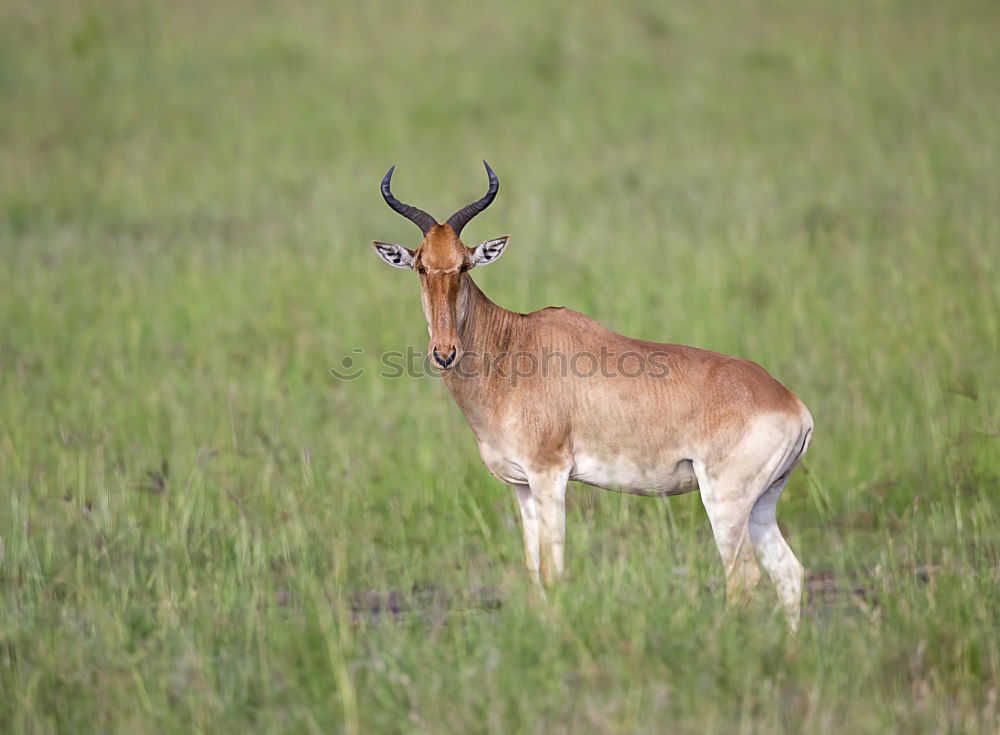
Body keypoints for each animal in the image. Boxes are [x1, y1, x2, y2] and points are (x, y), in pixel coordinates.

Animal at [372, 164, 816, 628]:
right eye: (421, 267)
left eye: (463, 265)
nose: (445, 353)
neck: (513, 344)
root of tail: (793, 406)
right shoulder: (522, 487)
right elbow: (534, 571)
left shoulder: (550, 475)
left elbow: (553, 571)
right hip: (762, 503)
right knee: (788, 573)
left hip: (724, 501)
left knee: (744, 577)